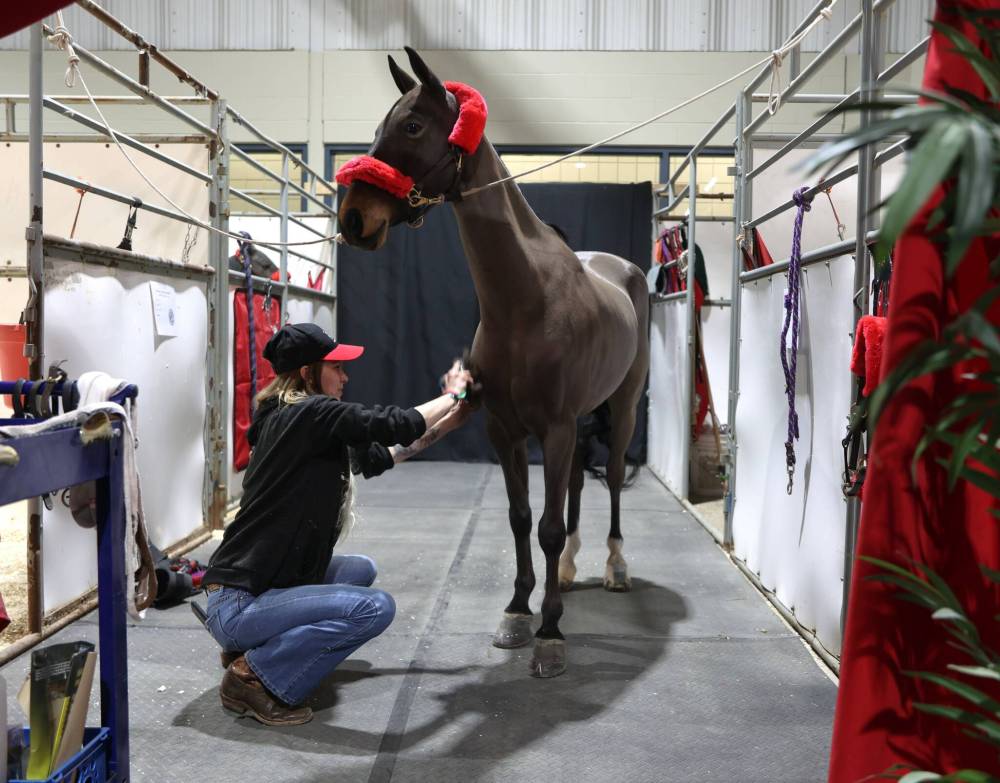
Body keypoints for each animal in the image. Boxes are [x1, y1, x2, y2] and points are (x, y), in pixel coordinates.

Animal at [335, 48, 649, 678]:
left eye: (413, 126)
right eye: (380, 126)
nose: (353, 220)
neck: (527, 301)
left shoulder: (553, 429)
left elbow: (547, 526)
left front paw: (550, 633)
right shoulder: (505, 429)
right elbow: (522, 518)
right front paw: (520, 609)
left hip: (622, 408)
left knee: (612, 478)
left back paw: (614, 567)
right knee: (576, 482)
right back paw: (572, 569)